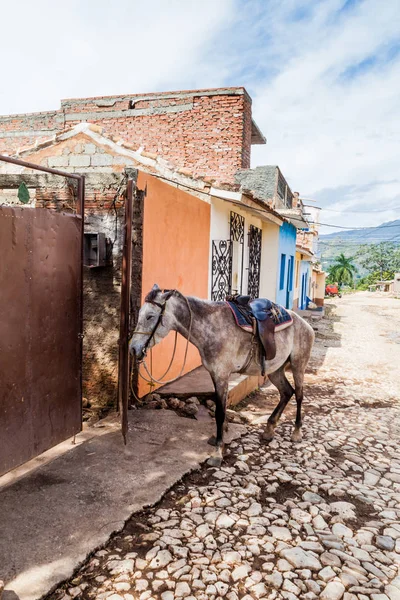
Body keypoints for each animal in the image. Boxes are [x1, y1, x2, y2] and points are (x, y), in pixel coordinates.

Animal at [130, 284, 314, 464]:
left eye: (150, 316)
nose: (133, 349)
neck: (211, 327)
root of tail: (306, 325)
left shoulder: (221, 375)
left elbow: (219, 412)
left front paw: (217, 452)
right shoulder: (215, 375)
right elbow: (222, 409)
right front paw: (220, 439)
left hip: (298, 366)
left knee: (299, 395)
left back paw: (296, 432)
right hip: (275, 370)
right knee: (286, 392)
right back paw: (269, 429)